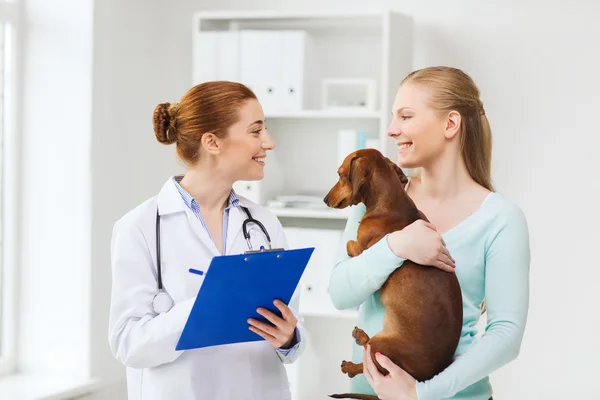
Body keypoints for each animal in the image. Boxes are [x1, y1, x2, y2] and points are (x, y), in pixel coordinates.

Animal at [324, 148, 464, 398]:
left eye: (340, 174)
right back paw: (361, 336)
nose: (324, 199)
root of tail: (422, 378)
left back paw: (350, 365)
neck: (390, 204)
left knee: (367, 364)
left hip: (382, 347)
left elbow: (350, 244)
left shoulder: (360, 246)